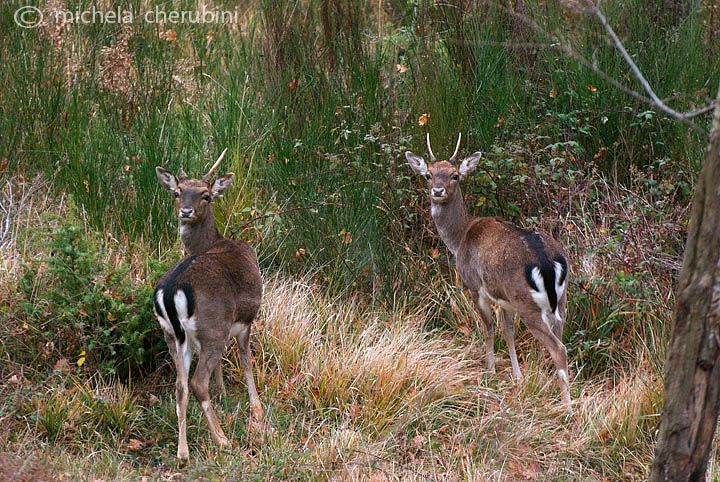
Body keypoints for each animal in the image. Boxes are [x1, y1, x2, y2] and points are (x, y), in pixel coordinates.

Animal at [153, 150, 266, 460]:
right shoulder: (245, 319)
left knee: (180, 385)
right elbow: (246, 359)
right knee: (196, 383)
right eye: (177, 192)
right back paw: (223, 439)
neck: (217, 242)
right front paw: (256, 408)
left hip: (172, 334)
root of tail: (170, 292)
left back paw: (183, 452)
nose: (185, 211)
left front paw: (224, 392)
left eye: (205, 195)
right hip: (213, 326)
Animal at [408, 135, 572, 406]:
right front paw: (517, 376)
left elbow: (488, 329)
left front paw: (491, 371)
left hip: (528, 304)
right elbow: (508, 331)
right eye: (428, 174)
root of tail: (549, 263)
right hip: (559, 301)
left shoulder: (475, 286)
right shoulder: (505, 299)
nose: (438, 191)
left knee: (558, 348)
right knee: (560, 336)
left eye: (455, 175)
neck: (460, 239)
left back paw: (568, 406)